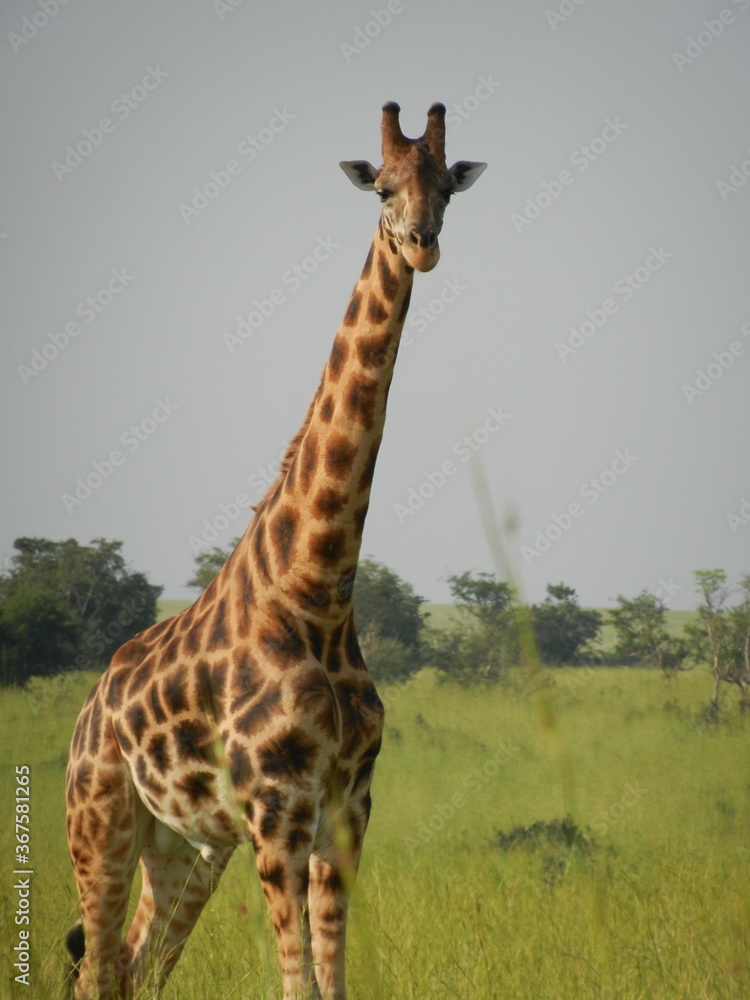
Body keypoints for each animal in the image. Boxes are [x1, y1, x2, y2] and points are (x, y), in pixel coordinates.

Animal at [65, 101, 486, 1000]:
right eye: (383, 188)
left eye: (446, 188)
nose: (422, 243)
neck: (318, 588)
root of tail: (87, 714)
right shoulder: (276, 810)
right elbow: (298, 985)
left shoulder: (347, 808)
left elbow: (333, 980)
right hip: (103, 825)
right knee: (98, 970)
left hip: (187, 846)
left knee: (139, 967)